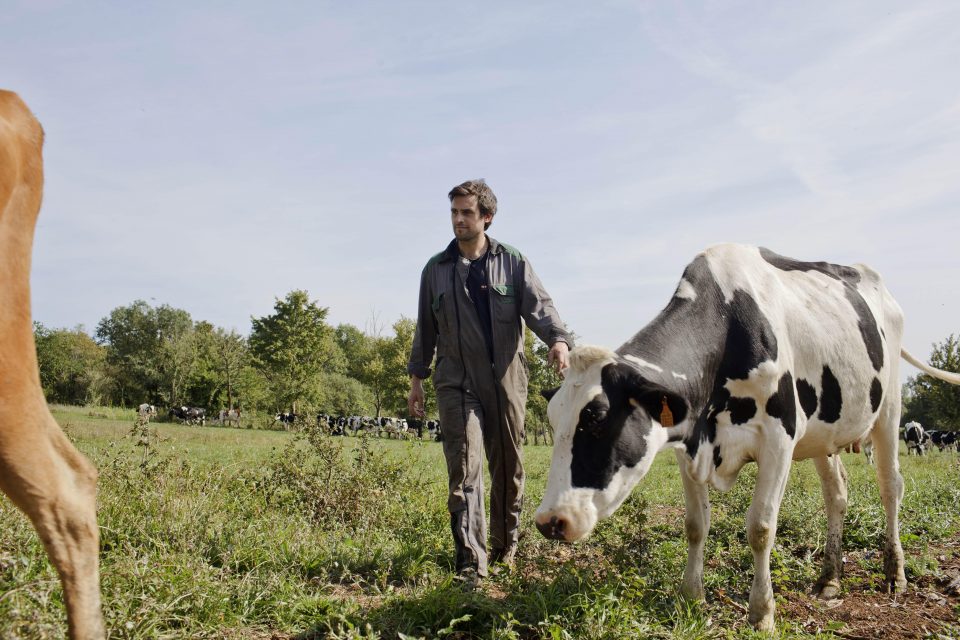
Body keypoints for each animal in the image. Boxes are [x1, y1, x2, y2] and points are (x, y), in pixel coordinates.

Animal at [532, 244, 960, 632]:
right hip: (823, 431)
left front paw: (761, 612)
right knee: (837, 493)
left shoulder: (778, 438)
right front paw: (692, 596)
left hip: (889, 411)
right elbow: (695, 524)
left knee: (891, 487)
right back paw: (829, 578)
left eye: (598, 417)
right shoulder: (688, 447)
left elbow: (760, 528)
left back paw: (895, 574)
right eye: (554, 419)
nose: (550, 521)